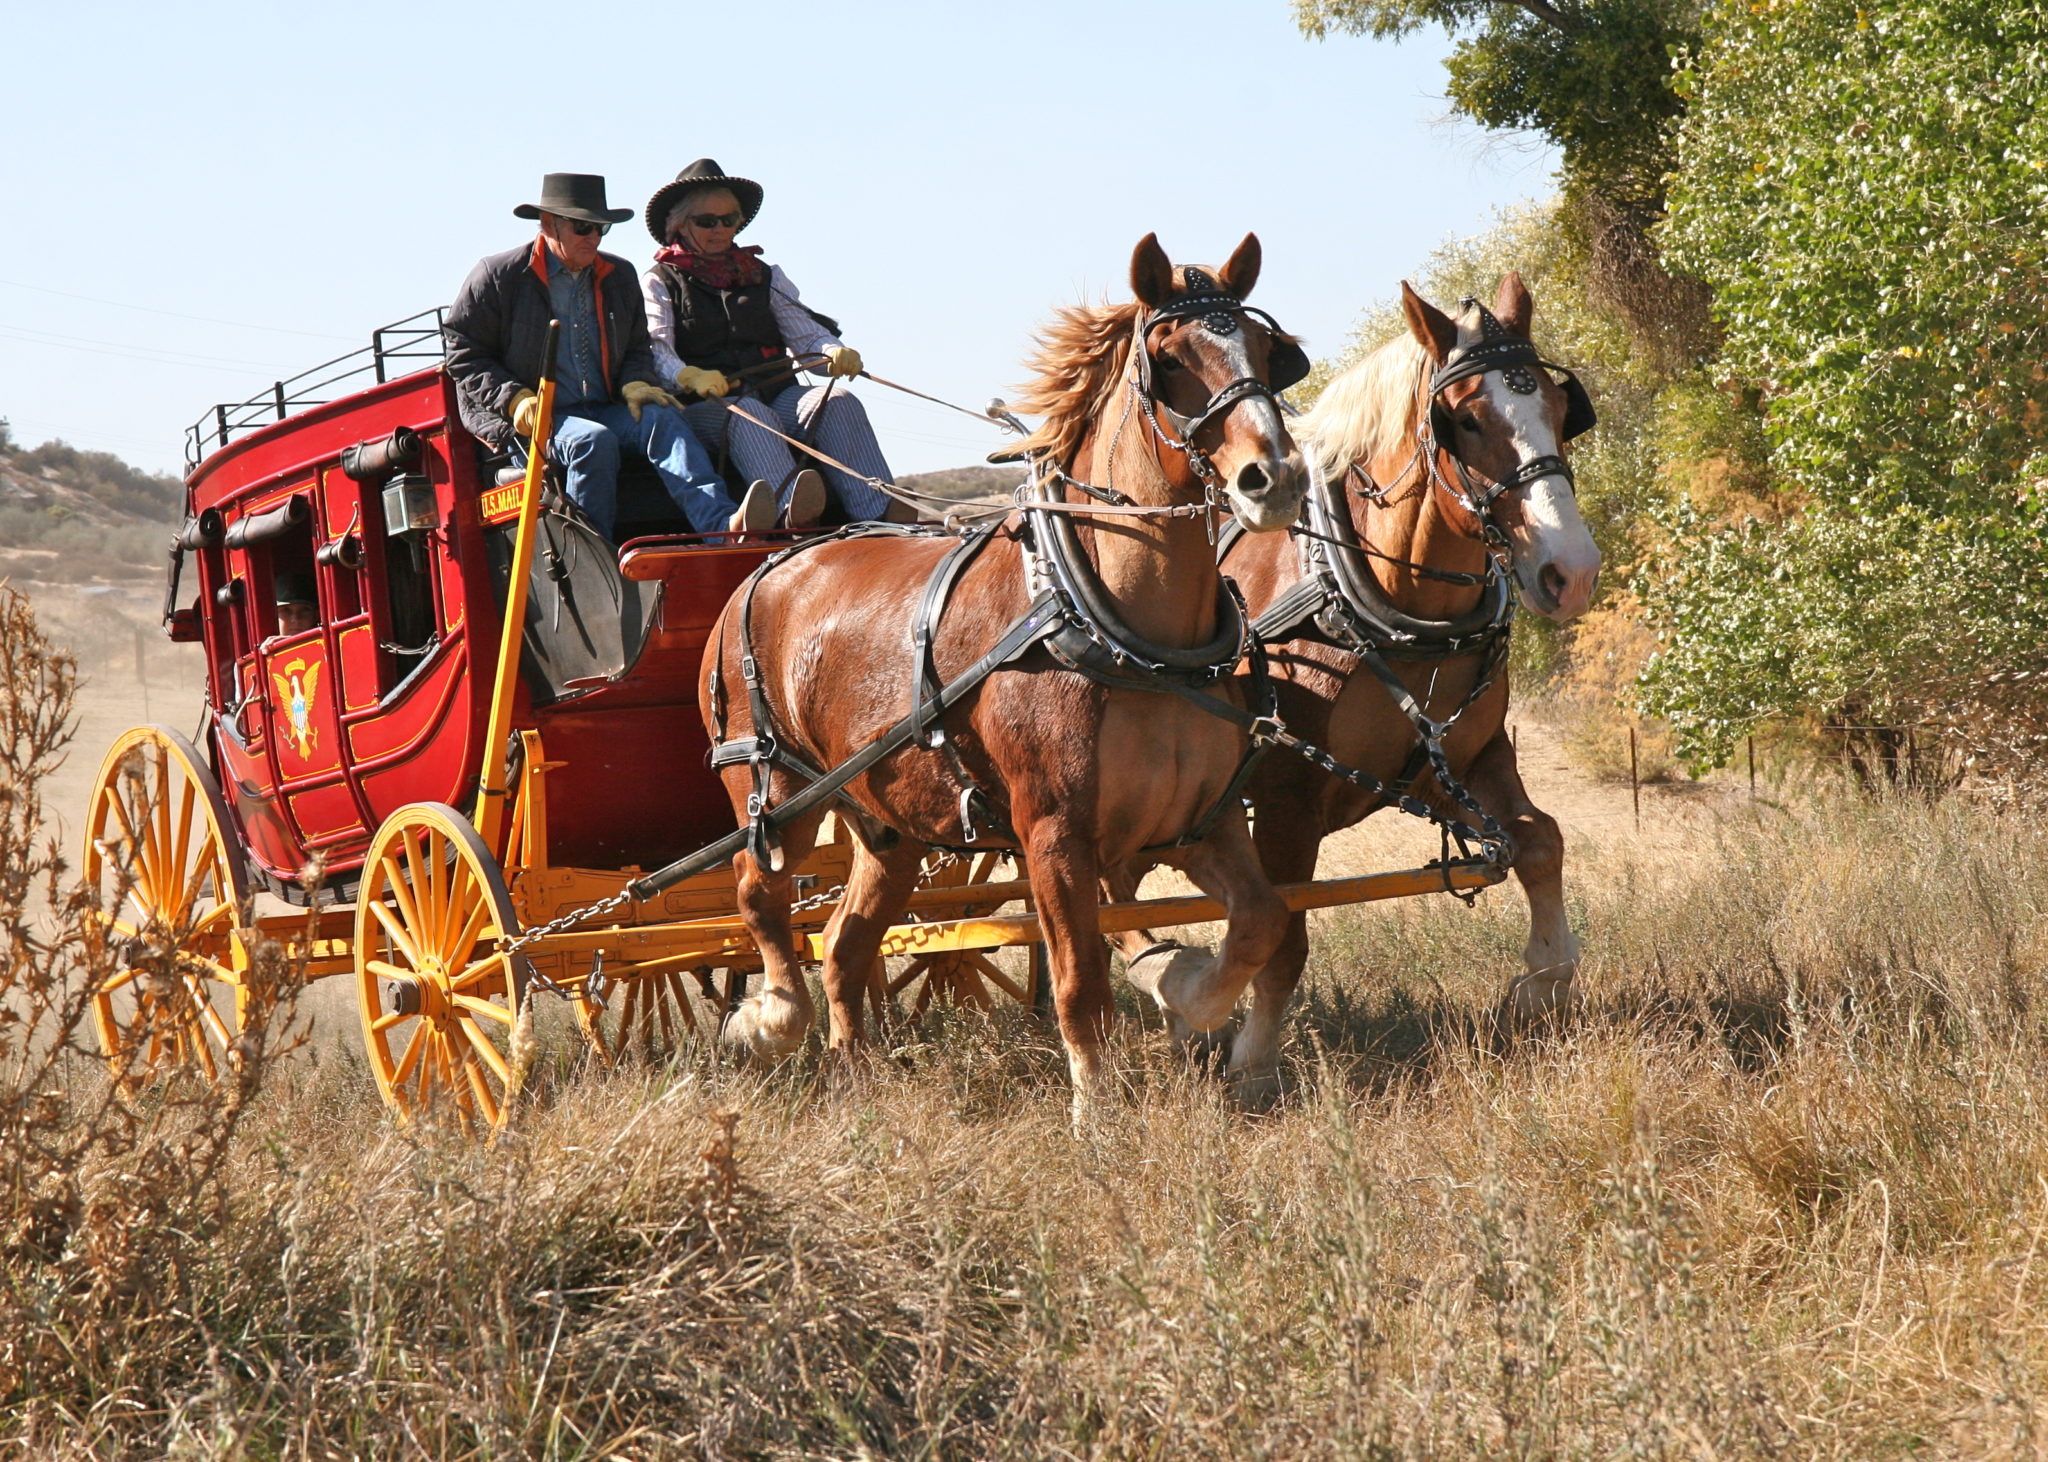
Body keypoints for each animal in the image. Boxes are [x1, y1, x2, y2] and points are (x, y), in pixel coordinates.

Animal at [700, 233, 1310, 1122]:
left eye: (1272, 352)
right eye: (1168, 359)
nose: (1278, 478)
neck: (1119, 629)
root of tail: (768, 563)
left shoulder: (1203, 821)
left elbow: (1261, 920)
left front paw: (1186, 987)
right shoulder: (1053, 834)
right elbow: (1080, 982)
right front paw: (1096, 1110)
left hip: (887, 825)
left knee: (846, 941)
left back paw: (855, 1074)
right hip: (773, 789)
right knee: (759, 894)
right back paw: (772, 1018)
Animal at [1122, 268, 1597, 1097]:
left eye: (1562, 409)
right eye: (1464, 420)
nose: (1571, 573)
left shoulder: (1463, 759)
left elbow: (1541, 841)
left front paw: (1542, 981)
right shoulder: (1286, 799)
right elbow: (1285, 929)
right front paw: (1254, 1059)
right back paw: (1171, 985)